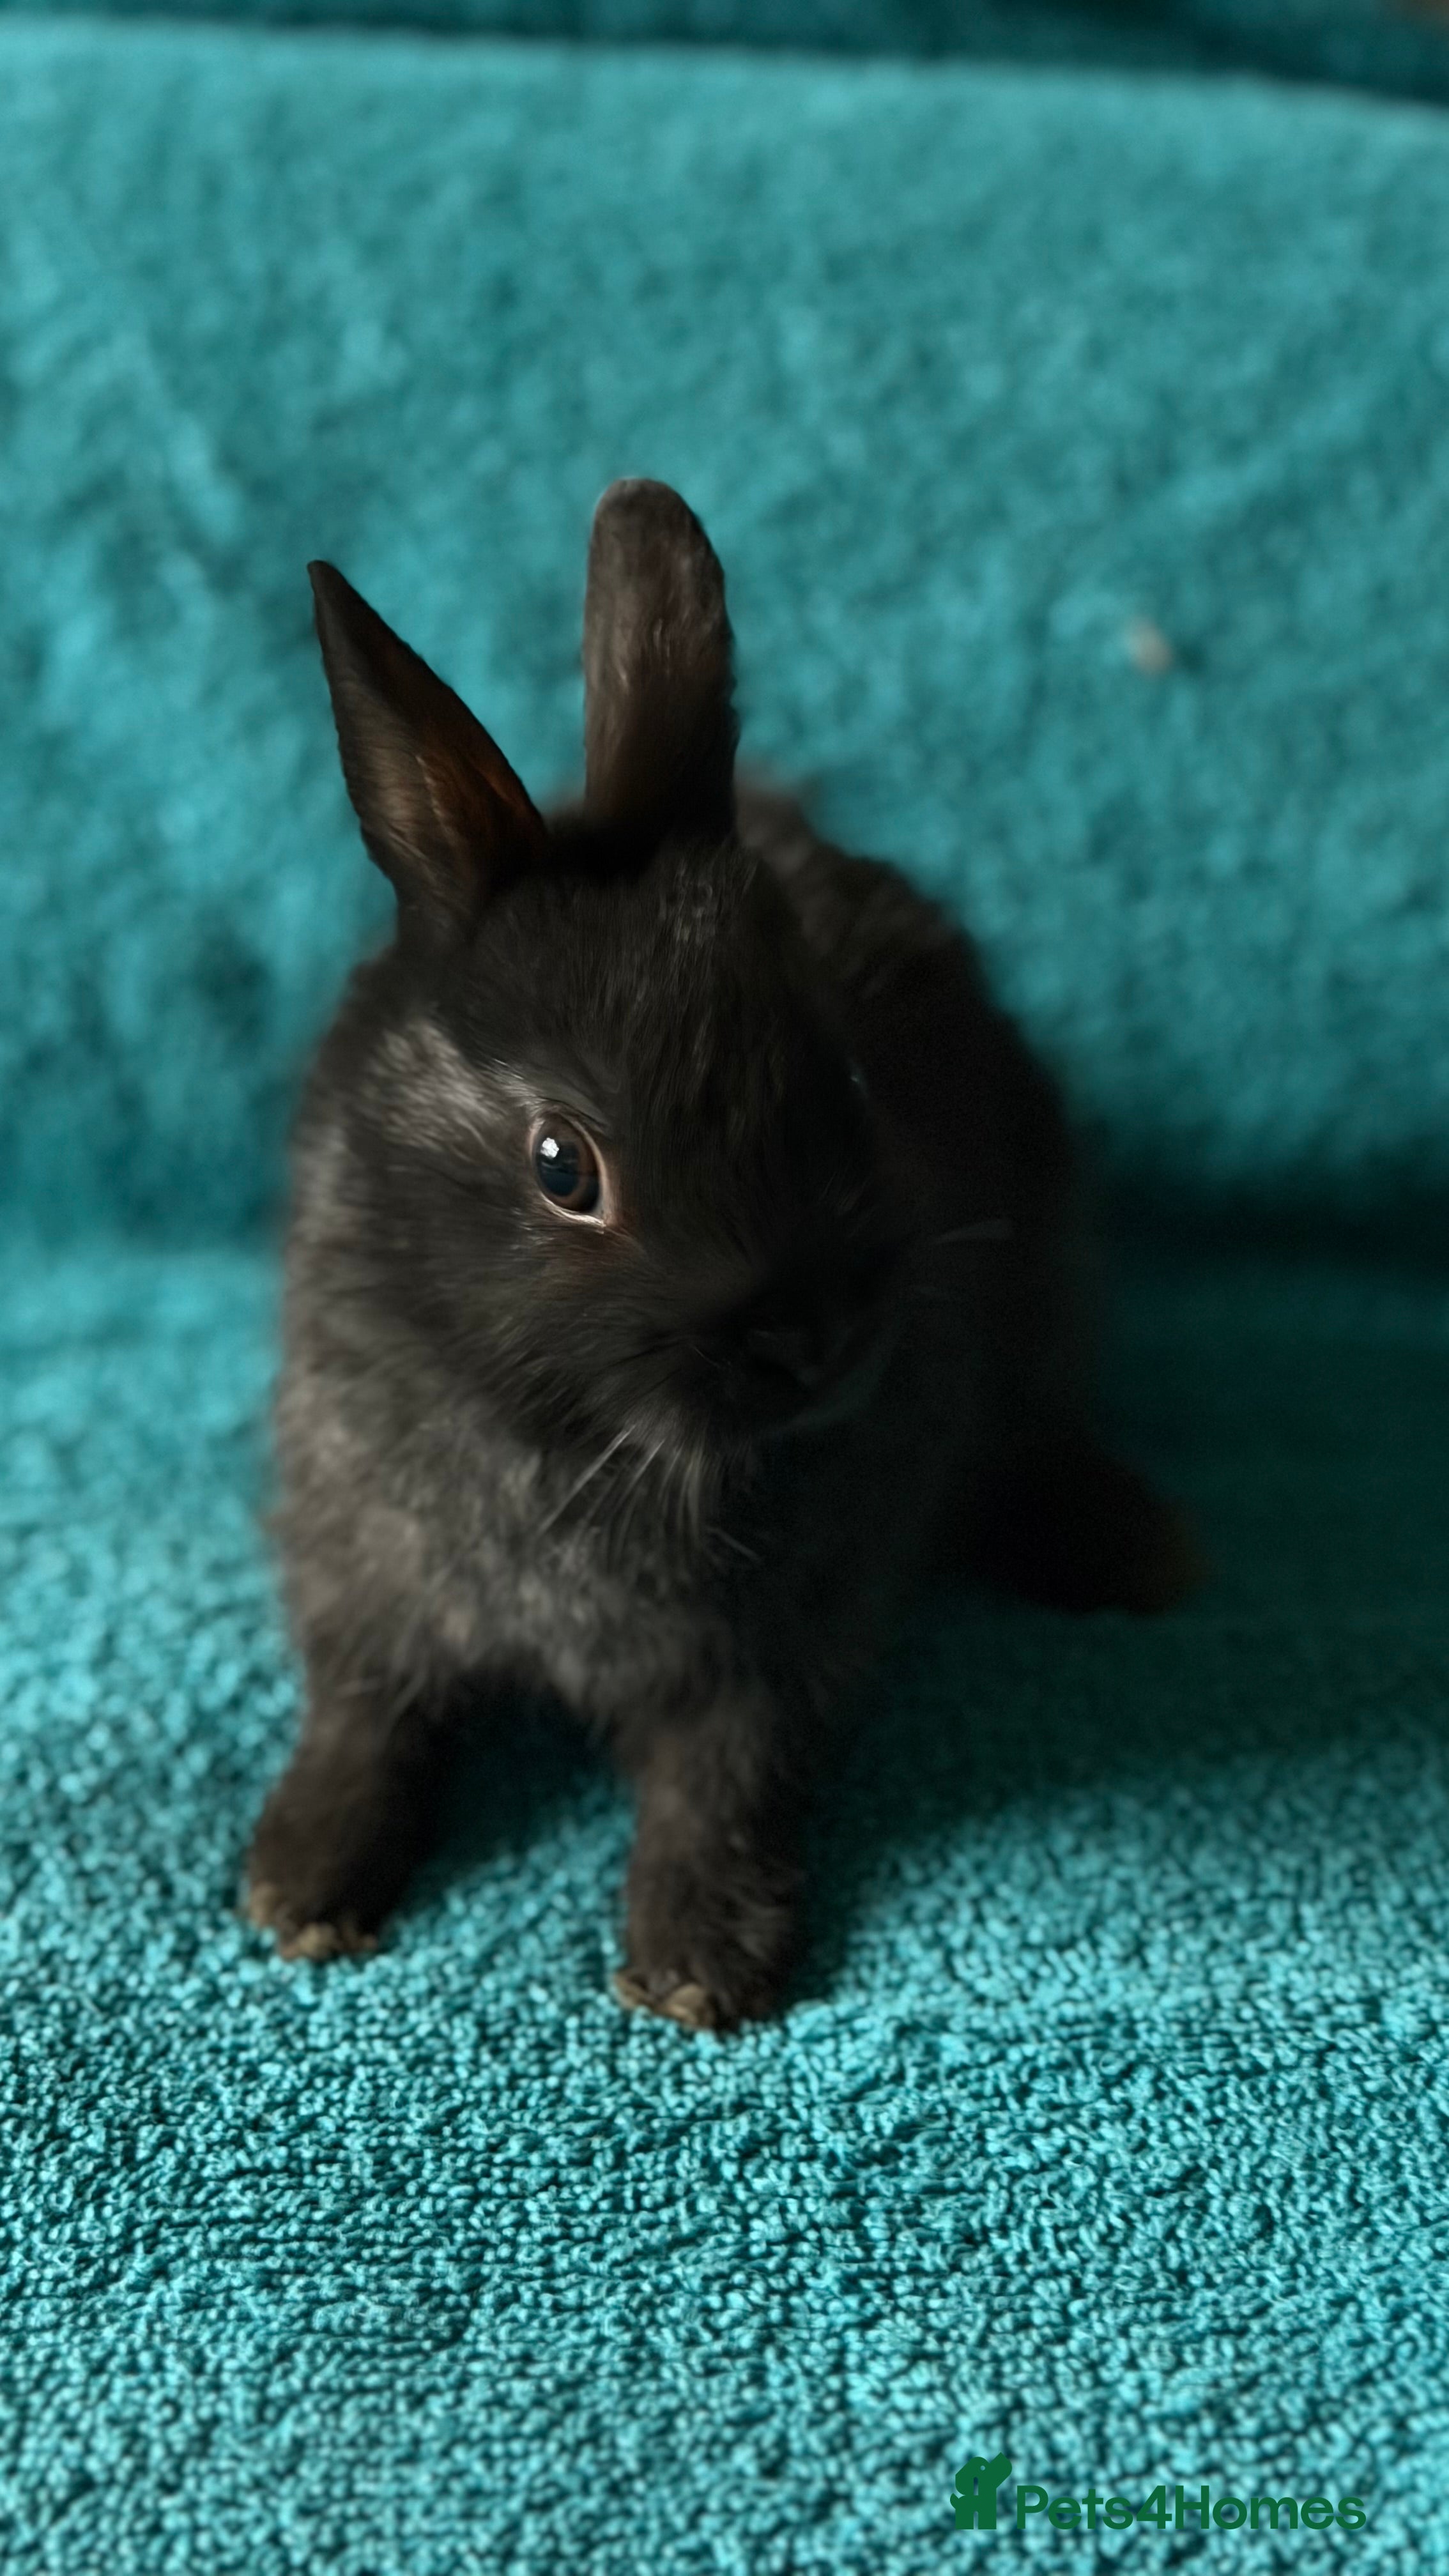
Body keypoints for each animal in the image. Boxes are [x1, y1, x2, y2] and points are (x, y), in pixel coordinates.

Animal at [243, 478, 1196, 2030]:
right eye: (562, 1166)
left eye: (851, 1082)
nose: (815, 1340)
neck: (579, 1439)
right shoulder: (363, 1570)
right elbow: (365, 1715)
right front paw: (302, 1883)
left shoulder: (791, 1641)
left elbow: (725, 1776)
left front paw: (698, 1961)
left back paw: (1138, 1550)